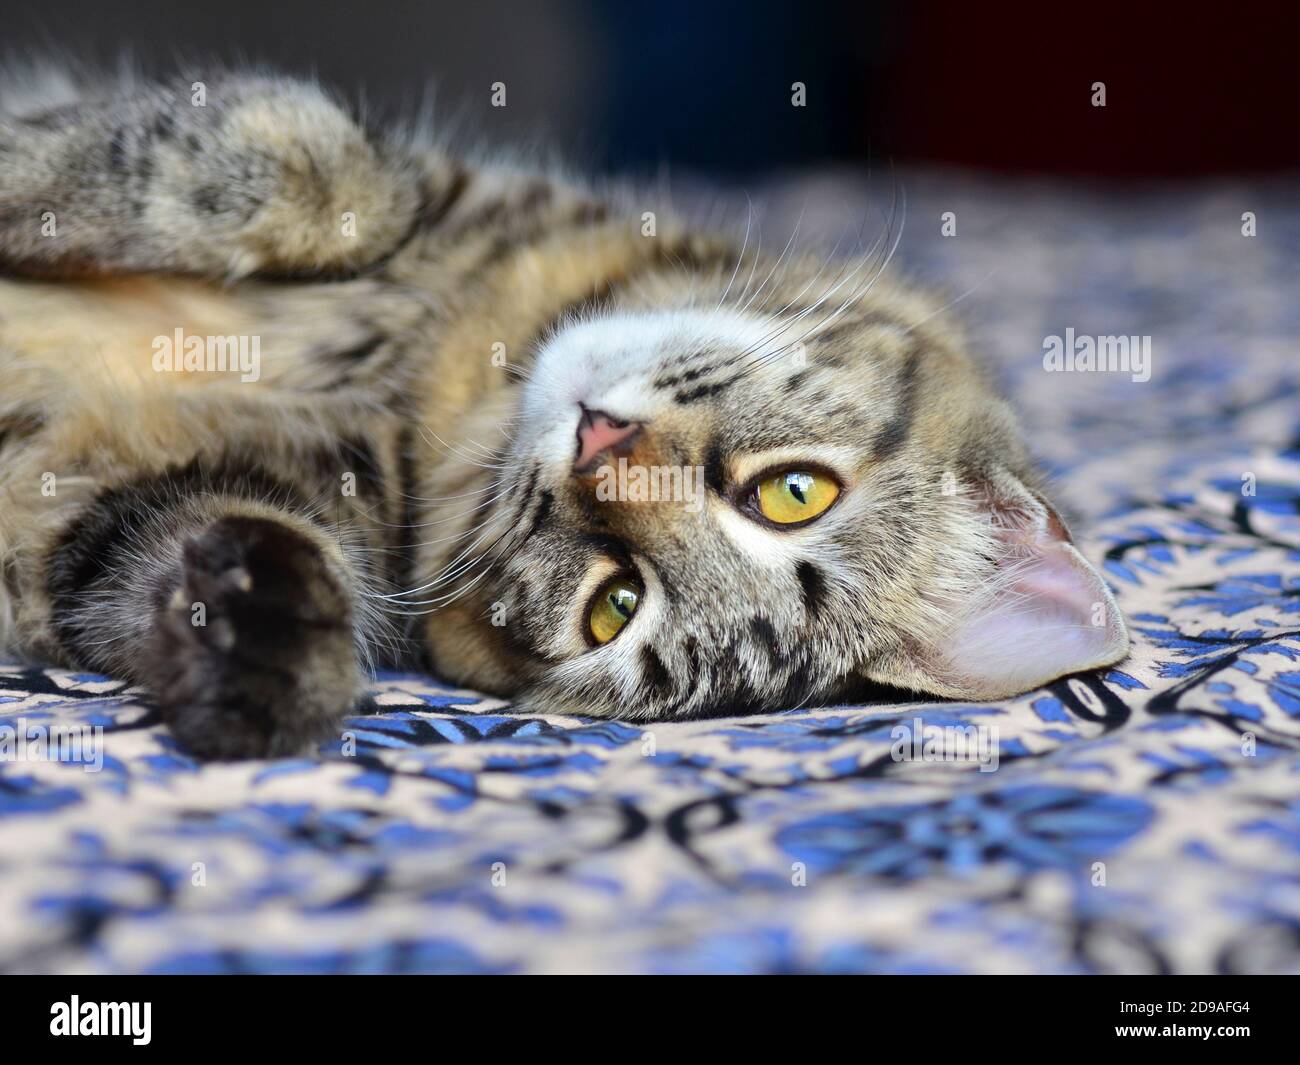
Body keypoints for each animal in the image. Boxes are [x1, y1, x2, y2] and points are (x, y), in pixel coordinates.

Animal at [0, 66, 1128, 759]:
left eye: (613, 604)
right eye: (794, 493)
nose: (600, 444)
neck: (436, 391)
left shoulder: (120, 506)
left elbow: (195, 558)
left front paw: (264, 661)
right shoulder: (420, 191)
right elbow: (307, 173)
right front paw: (23, 184)